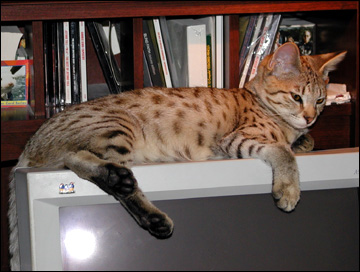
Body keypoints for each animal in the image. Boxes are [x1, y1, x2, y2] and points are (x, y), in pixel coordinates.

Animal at [7, 42, 346, 270]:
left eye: (321, 100)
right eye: (296, 96)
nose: (310, 117)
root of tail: (28, 145)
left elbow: (301, 144)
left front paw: (305, 140)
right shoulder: (237, 140)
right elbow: (283, 152)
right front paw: (288, 188)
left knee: (81, 163)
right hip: (118, 126)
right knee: (82, 162)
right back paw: (143, 206)